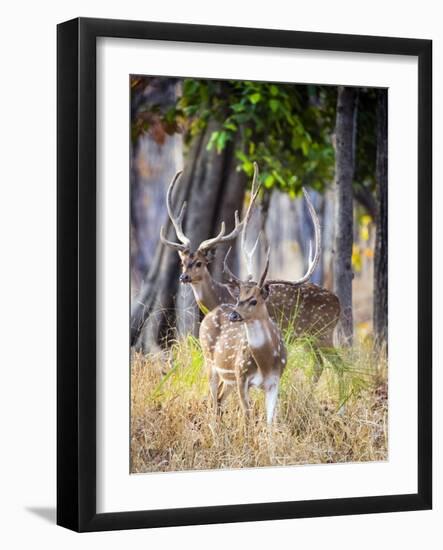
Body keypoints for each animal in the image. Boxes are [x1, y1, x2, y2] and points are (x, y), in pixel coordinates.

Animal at [161, 162, 342, 382]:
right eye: (183, 262)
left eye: (199, 263)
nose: (183, 277)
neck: (218, 297)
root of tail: (339, 304)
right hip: (310, 338)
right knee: (321, 364)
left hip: (322, 332)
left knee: (338, 364)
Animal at [201, 250, 288, 426]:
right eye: (238, 298)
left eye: (254, 301)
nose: (233, 315)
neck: (265, 363)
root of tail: (209, 314)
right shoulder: (241, 375)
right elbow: (247, 417)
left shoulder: (274, 381)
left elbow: (270, 422)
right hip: (210, 362)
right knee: (212, 401)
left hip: (228, 378)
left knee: (219, 399)